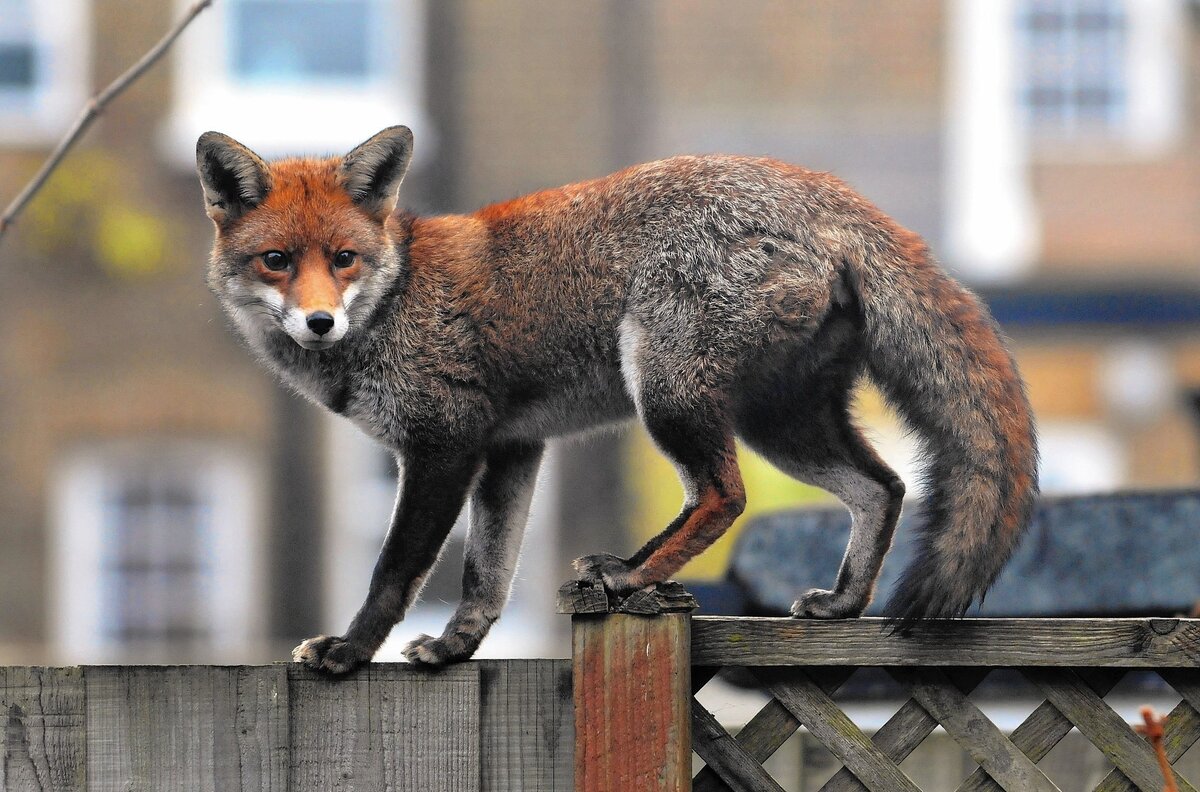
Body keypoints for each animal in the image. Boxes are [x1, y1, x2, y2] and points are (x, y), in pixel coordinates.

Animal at [196, 126, 1041, 672]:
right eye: (277, 261)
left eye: (343, 259)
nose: (319, 321)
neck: (397, 299)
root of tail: (827, 192)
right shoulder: (511, 449)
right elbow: (486, 576)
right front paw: (455, 648)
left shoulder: (445, 445)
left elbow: (396, 571)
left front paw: (349, 652)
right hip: (777, 421)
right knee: (883, 488)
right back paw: (840, 603)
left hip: (668, 390)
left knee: (724, 497)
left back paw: (634, 579)